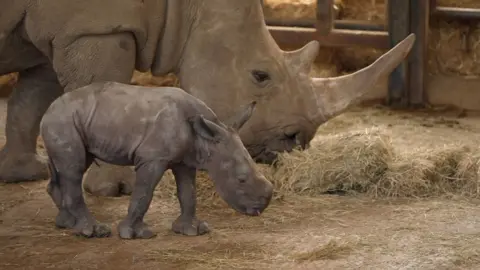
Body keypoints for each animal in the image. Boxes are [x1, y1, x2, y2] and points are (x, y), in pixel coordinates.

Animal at [0, 0, 414, 195]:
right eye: (260, 75)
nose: (295, 141)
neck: (186, 7)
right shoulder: (94, 27)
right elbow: (103, 88)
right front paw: (118, 189)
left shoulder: (58, 32)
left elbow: (32, 99)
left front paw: (25, 173)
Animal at [39, 81, 272, 239]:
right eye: (241, 179)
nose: (263, 206)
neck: (206, 139)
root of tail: (48, 108)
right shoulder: (152, 159)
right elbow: (144, 193)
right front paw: (134, 234)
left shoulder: (185, 160)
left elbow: (188, 193)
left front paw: (193, 230)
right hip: (63, 120)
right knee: (74, 169)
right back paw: (93, 231)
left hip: (76, 119)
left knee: (69, 167)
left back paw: (68, 224)